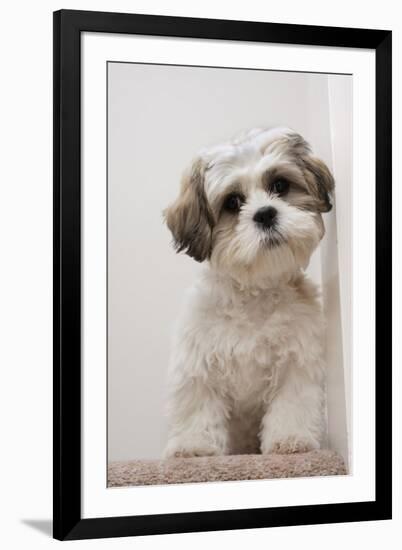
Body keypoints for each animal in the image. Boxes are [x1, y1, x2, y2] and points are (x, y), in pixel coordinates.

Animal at [163, 127, 332, 460]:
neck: (254, 293)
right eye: (232, 202)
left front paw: (290, 438)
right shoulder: (198, 360)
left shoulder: (297, 360)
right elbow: (198, 402)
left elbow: (292, 401)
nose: (265, 214)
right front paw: (194, 445)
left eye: (280, 185)